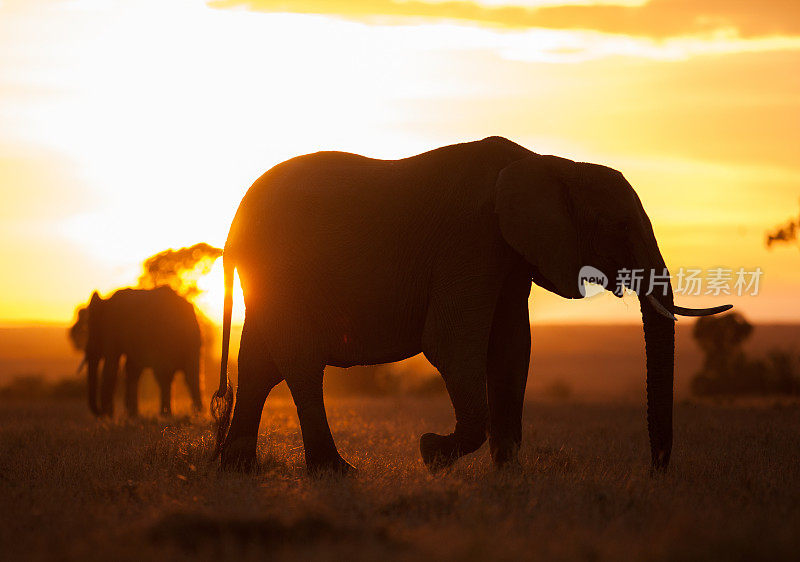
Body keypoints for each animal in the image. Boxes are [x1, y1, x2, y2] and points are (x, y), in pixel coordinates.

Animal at [76, 284, 203, 416]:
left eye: (92, 328)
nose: (100, 412)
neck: (106, 301)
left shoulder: (112, 328)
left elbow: (112, 366)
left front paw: (109, 416)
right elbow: (132, 369)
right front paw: (131, 415)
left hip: (166, 339)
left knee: (164, 375)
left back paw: (167, 414)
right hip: (192, 341)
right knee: (190, 375)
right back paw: (195, 413)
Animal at [211, 137, 732, 472]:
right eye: (619, 226)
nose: (656, 472)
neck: (548, 163)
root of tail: (233, 227)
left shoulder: (510, 253)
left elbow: (512, 348)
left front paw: (508, 477)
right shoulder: (471, 238)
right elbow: (451, 343)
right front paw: (430, 454)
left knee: (259, 362)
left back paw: (237, 468)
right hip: (281, 270)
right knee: (299, 363)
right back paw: (334, 472)